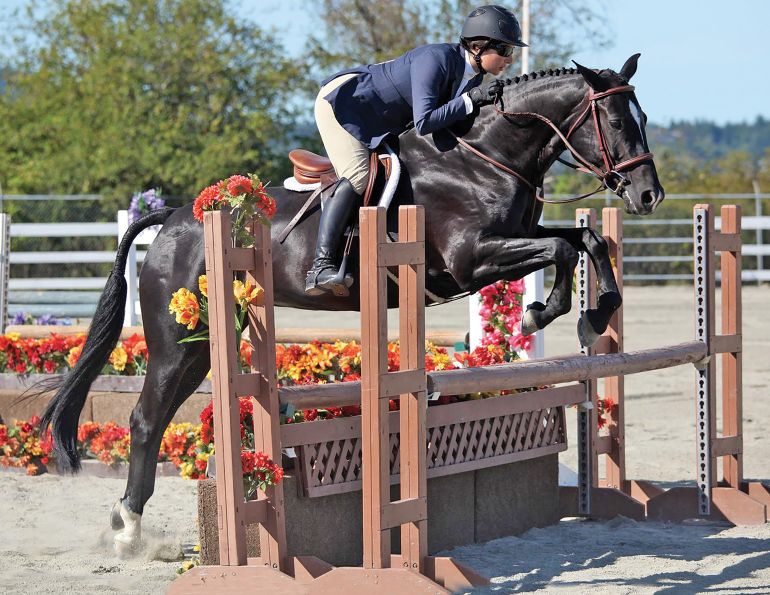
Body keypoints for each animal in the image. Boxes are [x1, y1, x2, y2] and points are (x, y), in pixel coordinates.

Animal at [41, 54, 664, 553]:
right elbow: (562, 247)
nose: (648, 195)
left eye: (643, 121)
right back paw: (127, 532)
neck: (484, 158)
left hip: (201, 346)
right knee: (147, 419)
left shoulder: (510, 241)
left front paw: (596, 312)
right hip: (175, 340)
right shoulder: (471, 260)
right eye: (615, 122)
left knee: (163, 415)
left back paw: (129, 520)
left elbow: (587, 239)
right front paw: (547, 311)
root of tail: (170, 219)